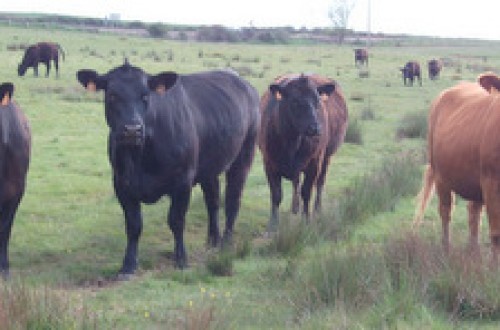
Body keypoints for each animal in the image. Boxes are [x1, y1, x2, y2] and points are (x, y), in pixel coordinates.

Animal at [77, 62, 262, 276]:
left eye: (145, 96)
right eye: (112, 95)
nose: (132, 130)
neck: (140, 157)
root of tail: (244, 84)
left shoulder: (182, 182)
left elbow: (176, 221)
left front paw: (181, 260)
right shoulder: (121, 184)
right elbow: (133, 225)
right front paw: (128, 265)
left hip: (244, 156)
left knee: (232, 200)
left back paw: (226, 242)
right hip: (209, 167)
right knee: (213, 201)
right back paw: (212, 241)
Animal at [258, 73, 348, 231]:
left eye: (317, 100)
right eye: (294, 101)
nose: (315, 128)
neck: (292, 142)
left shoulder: (314, 164)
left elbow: (306, 192)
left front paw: (306, 221)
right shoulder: (269, 164)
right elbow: (276, 195)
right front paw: (273, 225)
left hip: (326, 157)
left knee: (320, 183)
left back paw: (317, 210)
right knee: (297, 184)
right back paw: (295, 208)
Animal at [412, 71, 500, 262]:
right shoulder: (492, 184)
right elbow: (496, 234)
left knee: (473, 212)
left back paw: (474, 253)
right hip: (441, 176)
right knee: (446, 211)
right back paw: (446, 251)